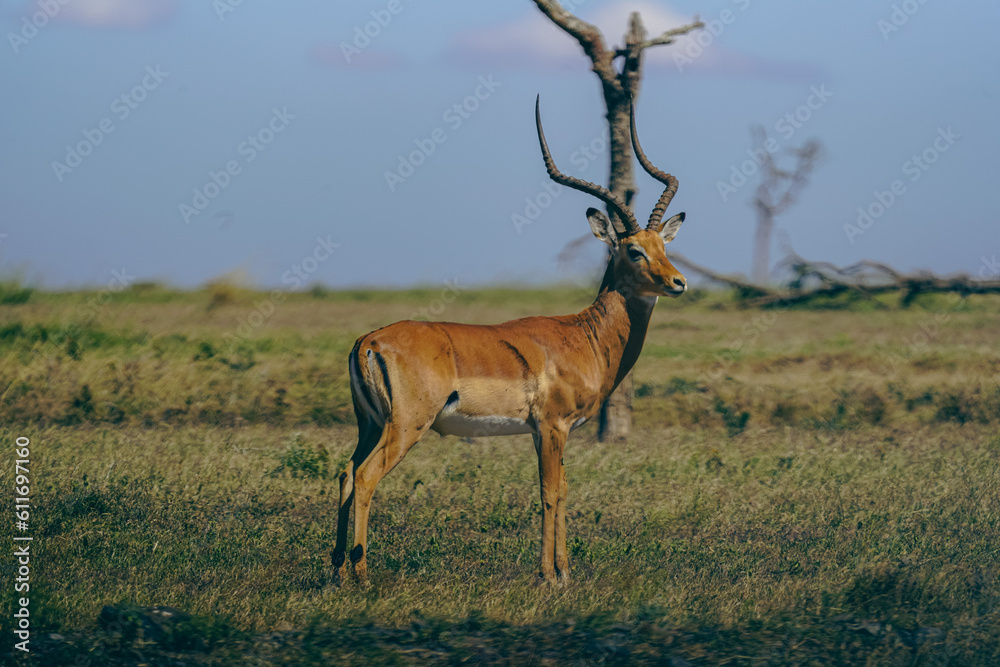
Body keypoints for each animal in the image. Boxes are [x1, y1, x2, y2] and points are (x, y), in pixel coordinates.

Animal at [333, 96, 688, 584]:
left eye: (663, 246)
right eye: (634, 250)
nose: (678, 282)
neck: (585, 337)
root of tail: (369, 341)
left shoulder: (553, 432)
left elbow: (564, 492)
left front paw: (564, 574)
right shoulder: (552, 426)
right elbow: (549, 493)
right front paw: (548, 578)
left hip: (369, 424)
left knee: (346, 473)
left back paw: (334, 574)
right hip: (406, 426)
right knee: (367, 477)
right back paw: (363, 576)